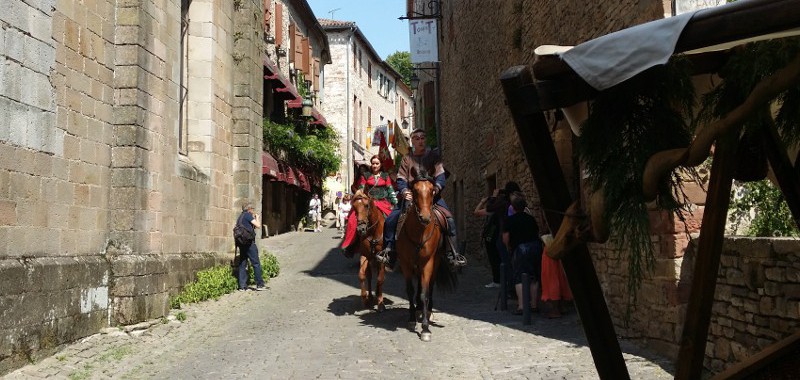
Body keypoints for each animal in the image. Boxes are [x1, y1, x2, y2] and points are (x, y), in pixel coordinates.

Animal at [394, 169, 456, 342]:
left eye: (431, 190)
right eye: (414, 191)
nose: (425, 217)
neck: (418, 233)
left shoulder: (427, 263)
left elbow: (424, 293)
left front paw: (425, 328)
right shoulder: (406, 263)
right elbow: (410, 290)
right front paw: (411, 319)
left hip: (435, 262)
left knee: (430, 286)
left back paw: (427, 311)